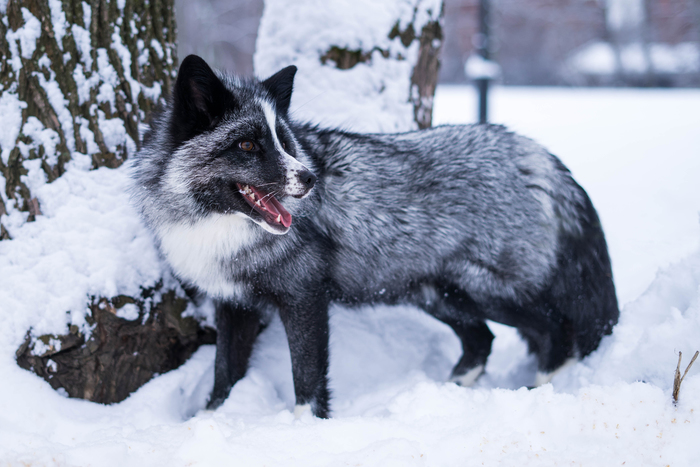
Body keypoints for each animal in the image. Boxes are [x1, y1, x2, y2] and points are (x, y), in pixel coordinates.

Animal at [131, 56, 616, 418]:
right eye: (248, 145)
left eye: (285, 141)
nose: (311, 179)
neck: (214, 224)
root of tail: (538, 155)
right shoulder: (233, 304)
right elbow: (223, 376)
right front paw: (211, 420)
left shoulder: (304, 298)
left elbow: (307, 380)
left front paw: (304, 429)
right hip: (439, 293)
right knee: (483, 341)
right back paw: (445, 394)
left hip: (483, 288)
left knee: (555, 326)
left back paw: (545, 388)